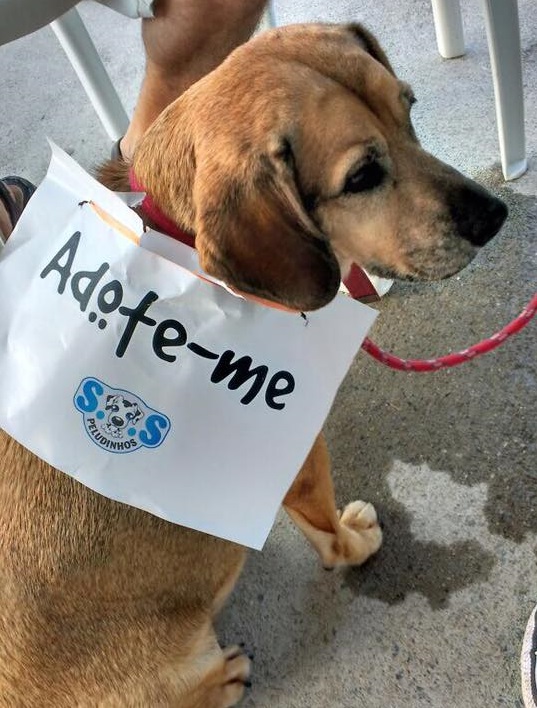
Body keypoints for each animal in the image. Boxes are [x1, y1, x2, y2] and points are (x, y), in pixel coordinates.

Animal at [0, 23, 504, 708]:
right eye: (362, 176)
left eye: (410, 108)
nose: (495, 216)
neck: (181, 235)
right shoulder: (298, 459)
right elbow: (327, 530)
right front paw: (354, 543)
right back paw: (227, 677)